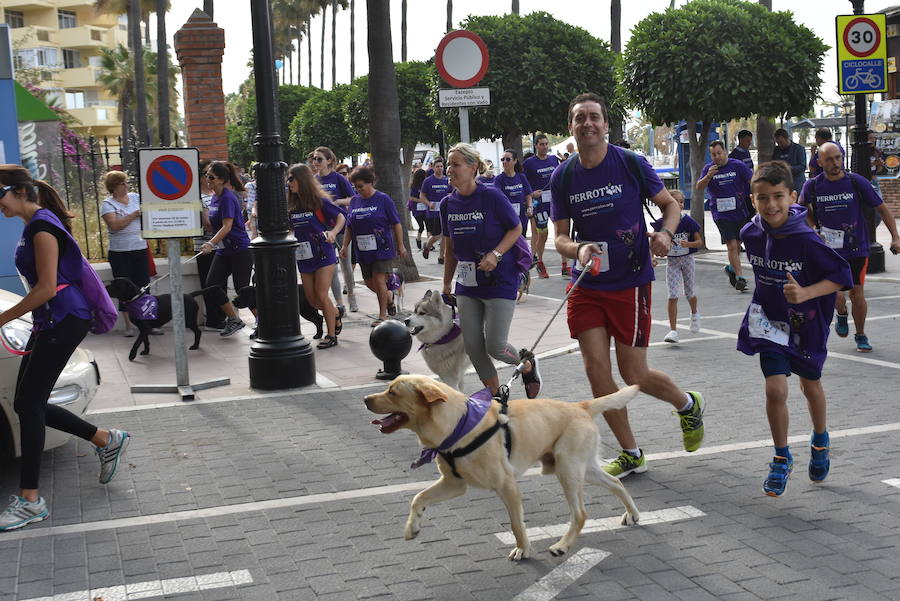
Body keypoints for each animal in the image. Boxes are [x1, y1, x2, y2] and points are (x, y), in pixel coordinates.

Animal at [362, 372, 644, 560]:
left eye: (393, 392)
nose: (365, 398)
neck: (459, 425)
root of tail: (581, 406)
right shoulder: (454, 484)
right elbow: (418, 498)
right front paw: (413, 527)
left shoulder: (506, 485)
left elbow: (516, 524)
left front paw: (523, 548)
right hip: (582, 469)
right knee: (615, 483)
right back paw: (632, 513)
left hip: (568, 470)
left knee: (581, 513)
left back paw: (562, 544)